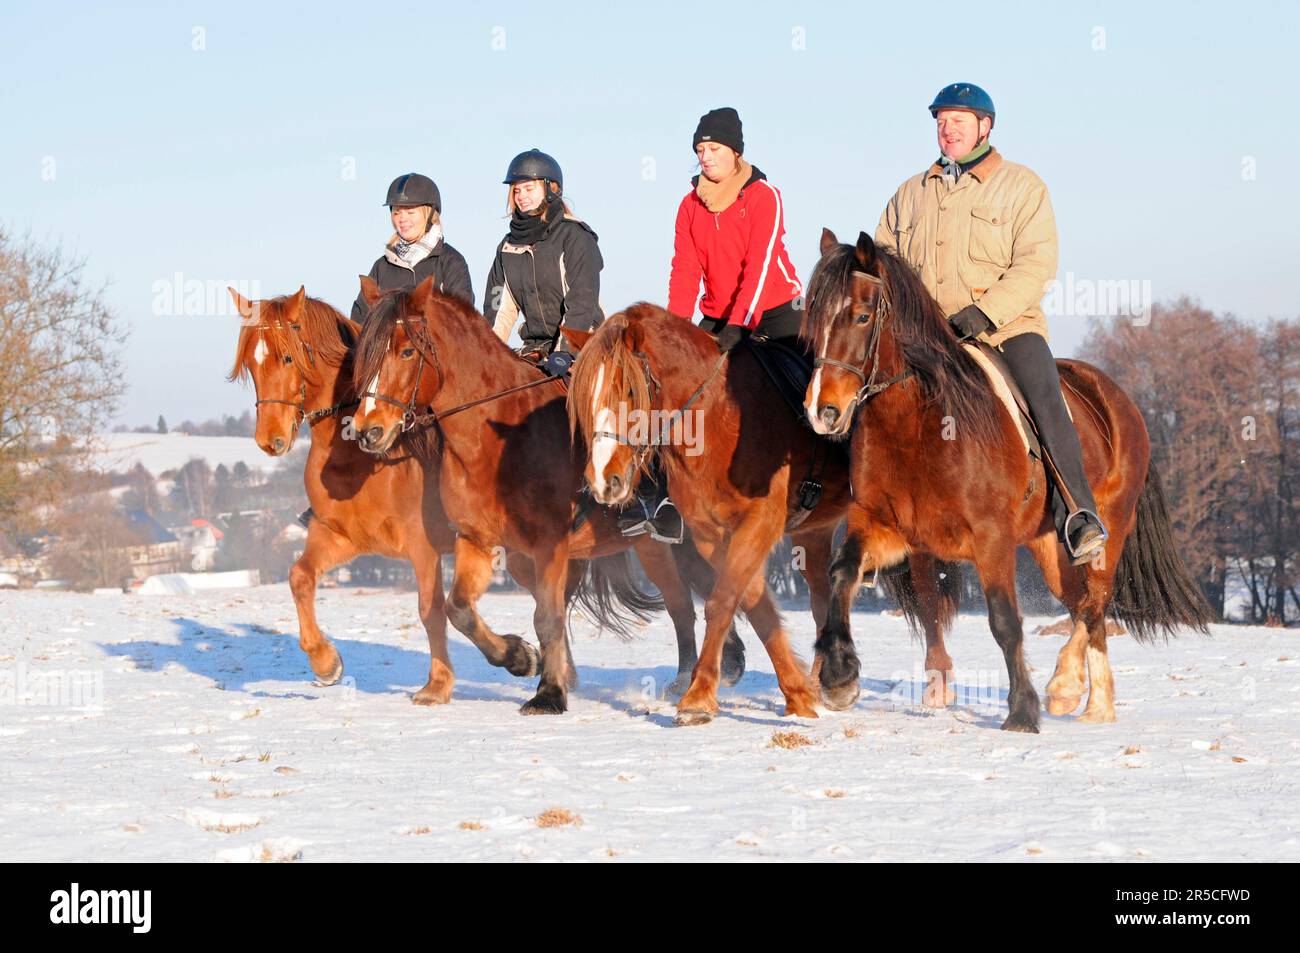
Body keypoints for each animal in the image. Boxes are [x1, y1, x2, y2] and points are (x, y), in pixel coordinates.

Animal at [347, 276, 745, 713]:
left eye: (405, 351)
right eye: (365, 356)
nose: (367, 432)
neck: (496, 438)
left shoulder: (550, 543)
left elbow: (546, 616)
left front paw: (549, 694)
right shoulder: (477, 540)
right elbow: (460, 608)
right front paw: (521, 658)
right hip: (645, 547)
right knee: (680, 604)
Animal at [565, 303, 958, 725]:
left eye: (629, 391)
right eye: (585, 395)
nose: (603, 480)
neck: (715, 417)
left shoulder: (758, 522)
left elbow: (722, 601)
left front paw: (698, 697)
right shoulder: (711, 534)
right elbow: (755, 605)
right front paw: (798, 693)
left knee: (927, 593)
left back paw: (936, 681)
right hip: (812, 533)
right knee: (823, 599)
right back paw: (828, 678)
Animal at [802, 229, 1213, 731]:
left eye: (861, 316)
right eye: (813, 316)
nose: (822, 411)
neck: (919, 424)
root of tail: (1120, 399)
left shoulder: (991, 538)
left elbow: (1004, 620)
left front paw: (1021, 711)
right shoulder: (886, 527)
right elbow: (843, 572)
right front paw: (839, 677)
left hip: (1106, 533)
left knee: (1096, 600)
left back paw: (1073, 690)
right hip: (1049, 547)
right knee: (1084, 607)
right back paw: (1090, 701)